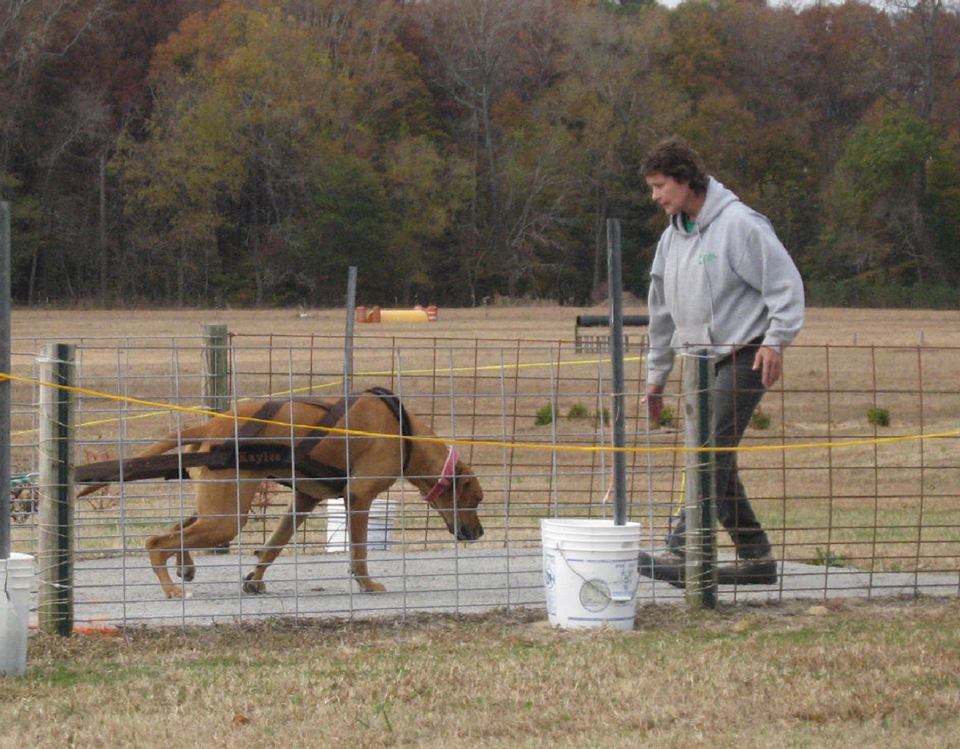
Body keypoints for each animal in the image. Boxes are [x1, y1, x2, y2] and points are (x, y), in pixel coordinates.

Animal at [76, 388, 484, 600]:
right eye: (476, 500)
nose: (479, 533)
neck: (404, 432)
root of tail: (212, 423)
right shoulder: (359, 499)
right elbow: (359, 554)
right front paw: (367, 584)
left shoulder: (303, 501)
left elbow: (272, 546)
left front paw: (255, 579)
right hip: (227, 516)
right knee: (157, 540)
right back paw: (173, 589)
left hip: (218, 506)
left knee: (179, 528)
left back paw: (186, 567)